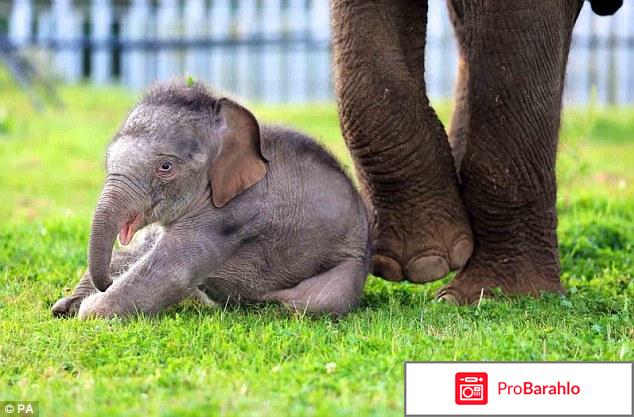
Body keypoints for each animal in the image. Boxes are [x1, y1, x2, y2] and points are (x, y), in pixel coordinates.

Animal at [54, 79, 372, 316]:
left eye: (165, 167)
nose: (106, 282)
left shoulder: (228, 219)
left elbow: (169, 274)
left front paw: (87, 311)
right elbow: (139, 253)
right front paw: (65, 306)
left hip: (349, 264)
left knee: (314, 302)